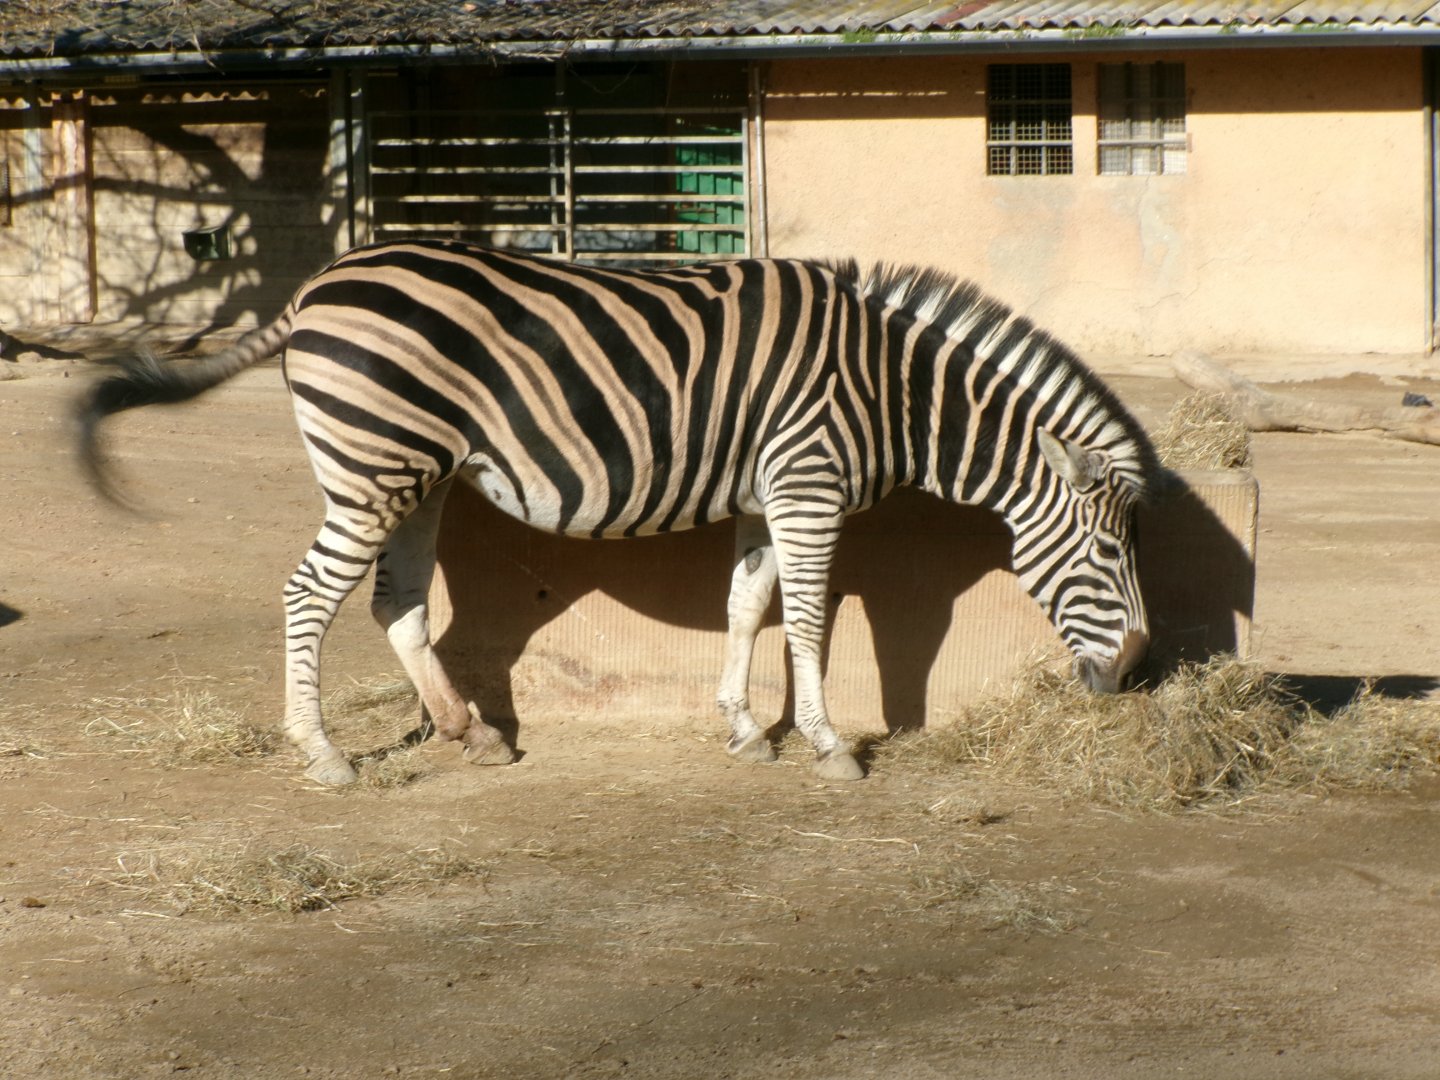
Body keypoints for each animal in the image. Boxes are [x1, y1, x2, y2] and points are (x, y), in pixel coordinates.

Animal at [77, 239, 1172, 785]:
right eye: (1107, 549)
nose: (1131, 673)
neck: (889, 387)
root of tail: (315, 285)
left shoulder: (767, 495)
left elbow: (747, 607)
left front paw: (743, 729)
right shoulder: (808, 484)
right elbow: (809, 621)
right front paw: (828, 748)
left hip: (419, 472)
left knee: (395, 600)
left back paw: (468, 734)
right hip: (373, 461)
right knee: (309, 594)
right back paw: (325, 757)